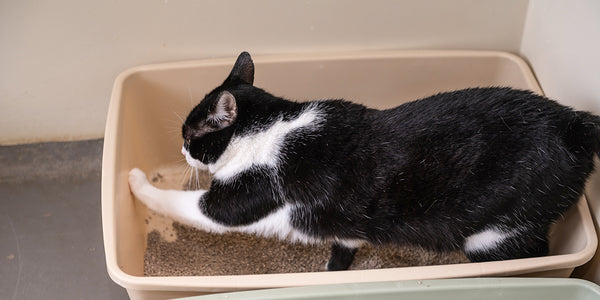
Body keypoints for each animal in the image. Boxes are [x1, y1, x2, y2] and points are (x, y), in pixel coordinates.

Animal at [129, 51, 600, 272]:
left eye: (190, 136)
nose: (182, 151)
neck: (269, 128)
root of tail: (574, 123)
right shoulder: (345, 218)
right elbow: (347, 236)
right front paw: (335, 265)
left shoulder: (244, 196)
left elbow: (188, 204)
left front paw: (135, 182)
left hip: (494, 236)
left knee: (533, 253)